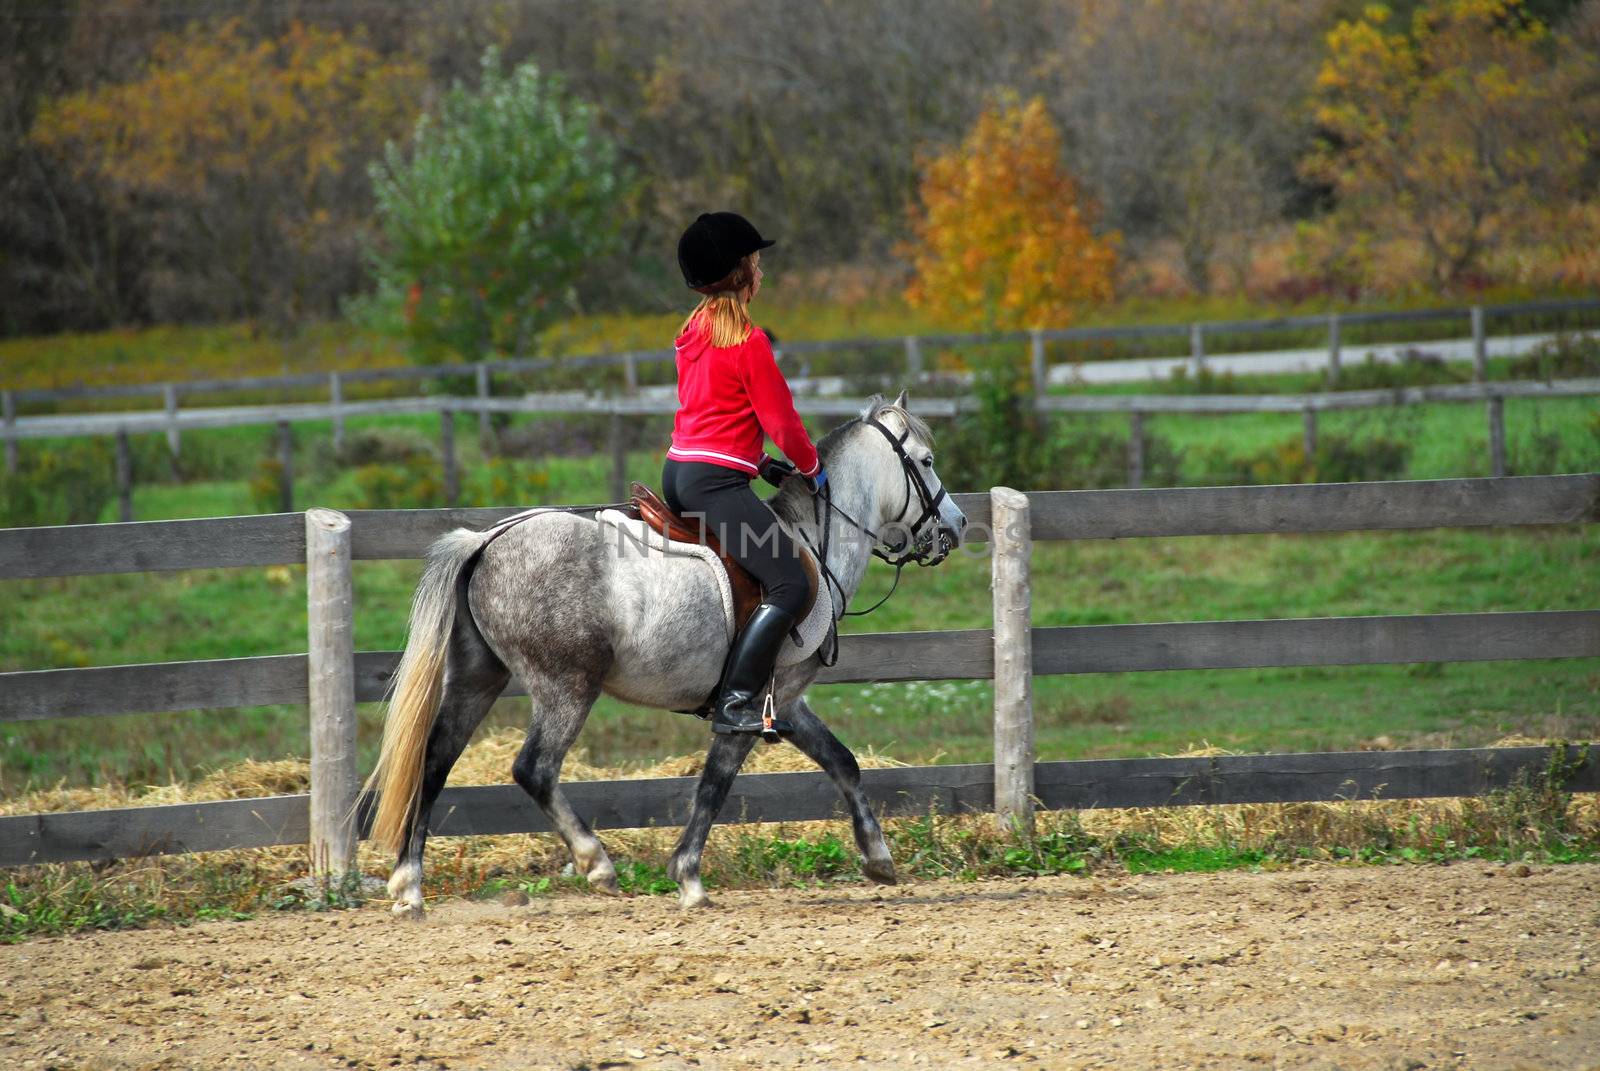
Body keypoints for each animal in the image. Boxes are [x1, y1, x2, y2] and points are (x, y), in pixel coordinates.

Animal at [364, 390, 966, 909]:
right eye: (927, 461)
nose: (956, 525)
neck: (810, 541)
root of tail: (487, 540)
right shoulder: (748, 706)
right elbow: (714, 786)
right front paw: (689, 877)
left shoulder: (788, 702)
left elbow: (844, 763)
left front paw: (878, 857)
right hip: (566, 688)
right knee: (534, 769)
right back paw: (596, 862)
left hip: (477, 678)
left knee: (435, 760)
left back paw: (408, 885)